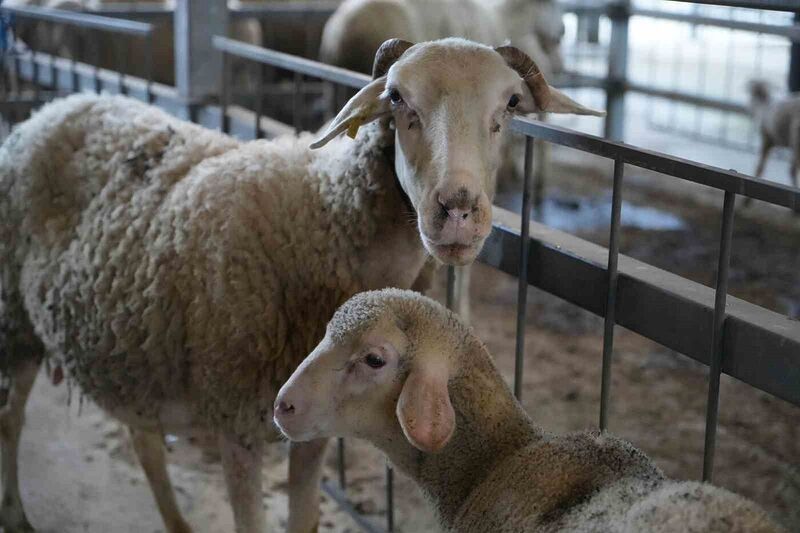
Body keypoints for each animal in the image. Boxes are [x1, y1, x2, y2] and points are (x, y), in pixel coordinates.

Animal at [0, 37, 600, 532]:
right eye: (396, 98)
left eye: (511, 104)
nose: (457, 209)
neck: (324, 210)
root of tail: (52, 110)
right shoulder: (237, 422)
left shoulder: (313, 421)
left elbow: (305, 518)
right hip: (17, 325)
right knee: (11, 419)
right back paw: (18, 515)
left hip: (130, 344)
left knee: (142, 437)